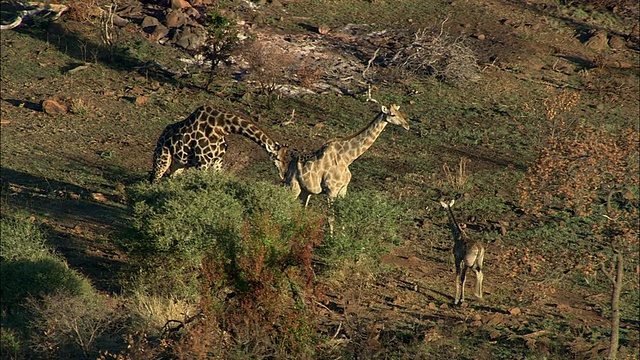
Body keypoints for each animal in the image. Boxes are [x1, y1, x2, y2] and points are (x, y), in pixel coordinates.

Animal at [149, 105, 284, 181]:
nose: (283, 176)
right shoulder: (202, 163)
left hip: (179, 164)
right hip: (162, 158)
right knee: (154, 179)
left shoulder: (218, 162)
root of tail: (161, 136)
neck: (221, 128)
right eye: (278, 158)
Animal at [282, 102, 410, 229]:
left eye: (400, 112)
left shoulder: (343, 189)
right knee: (287, 205)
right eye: (392, 114)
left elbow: (342, 216)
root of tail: (288, 168)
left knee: (301, 209)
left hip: (305, 191)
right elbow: (331, 218)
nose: (407, 126)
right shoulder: (331, 190)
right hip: (293, 186)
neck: (346, 159)